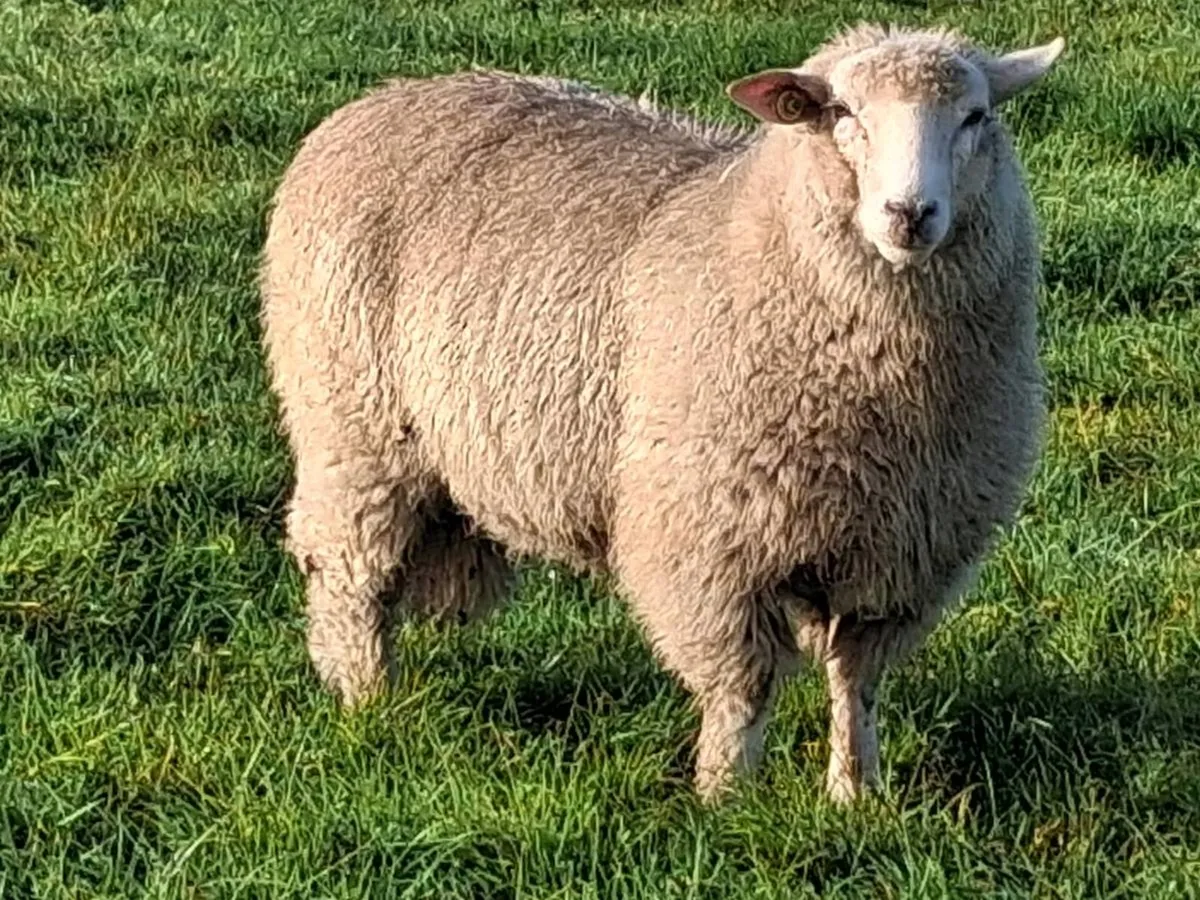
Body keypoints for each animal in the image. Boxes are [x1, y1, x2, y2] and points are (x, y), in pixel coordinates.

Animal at [260, 23, 1064, 802]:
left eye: (976, 117)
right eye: (842, 113)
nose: (909, 215)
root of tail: (381, 99)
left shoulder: (903, 551)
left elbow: (855, 684)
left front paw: (855, 795)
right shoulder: (714, 540)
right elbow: (744, 688)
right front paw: (726, 799)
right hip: (353, 428)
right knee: (349, 575)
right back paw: (369, 702)